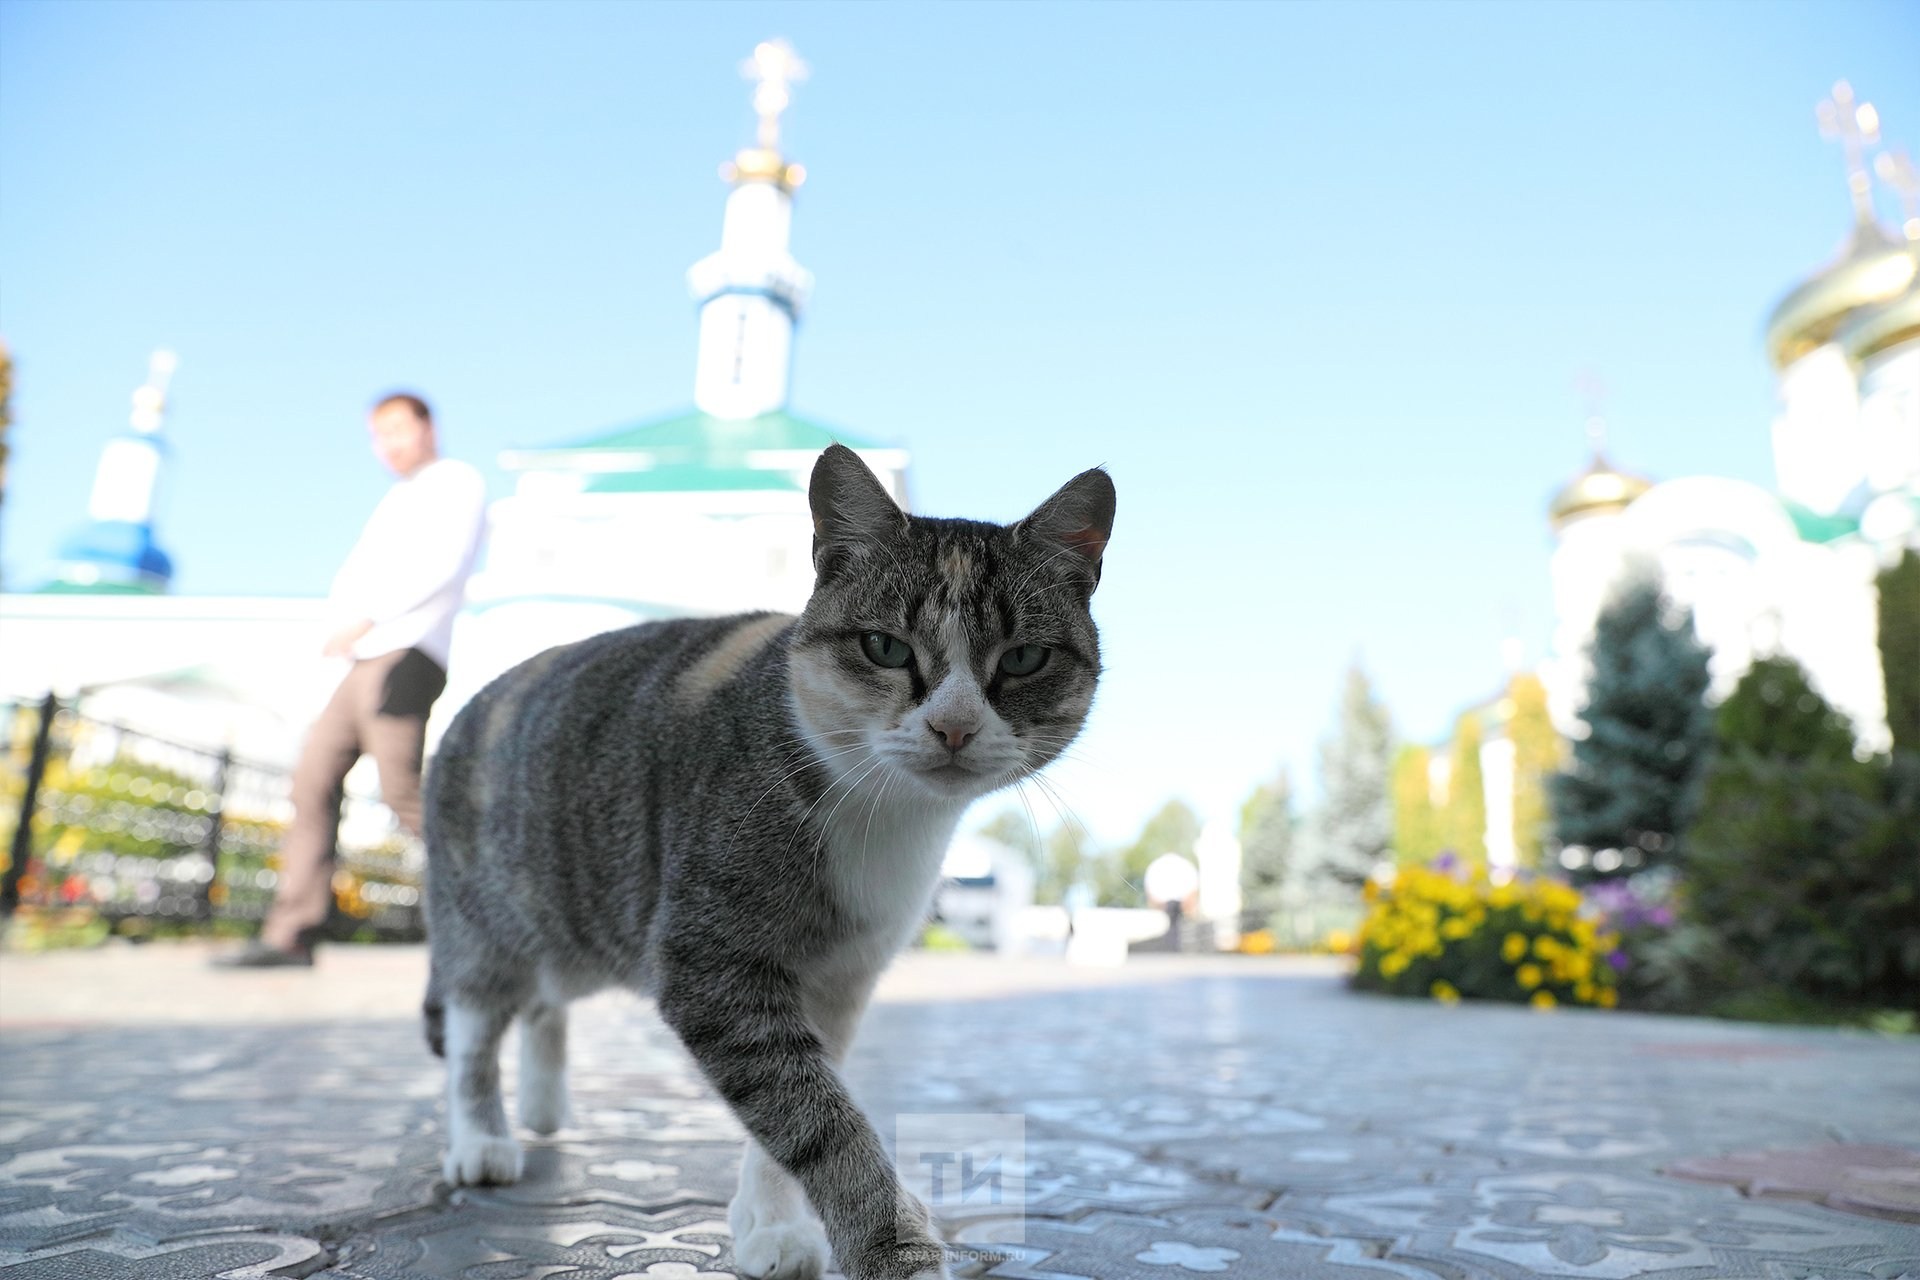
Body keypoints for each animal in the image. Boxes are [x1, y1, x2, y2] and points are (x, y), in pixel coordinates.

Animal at [420, 443, 1113, 1280]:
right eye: (885, 647)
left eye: (1023, 659)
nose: (952, 726)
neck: (887, 817)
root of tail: (475, 698)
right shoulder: (709, 963)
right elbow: (814, 1115)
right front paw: (889, 1244)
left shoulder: (840, 977)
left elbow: (796, 1105)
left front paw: (770, 1222)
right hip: (491, 916)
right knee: (474, 1022)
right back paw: (482, 1136)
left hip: (582, 918)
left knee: (545, 1003)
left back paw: (543, 1105)